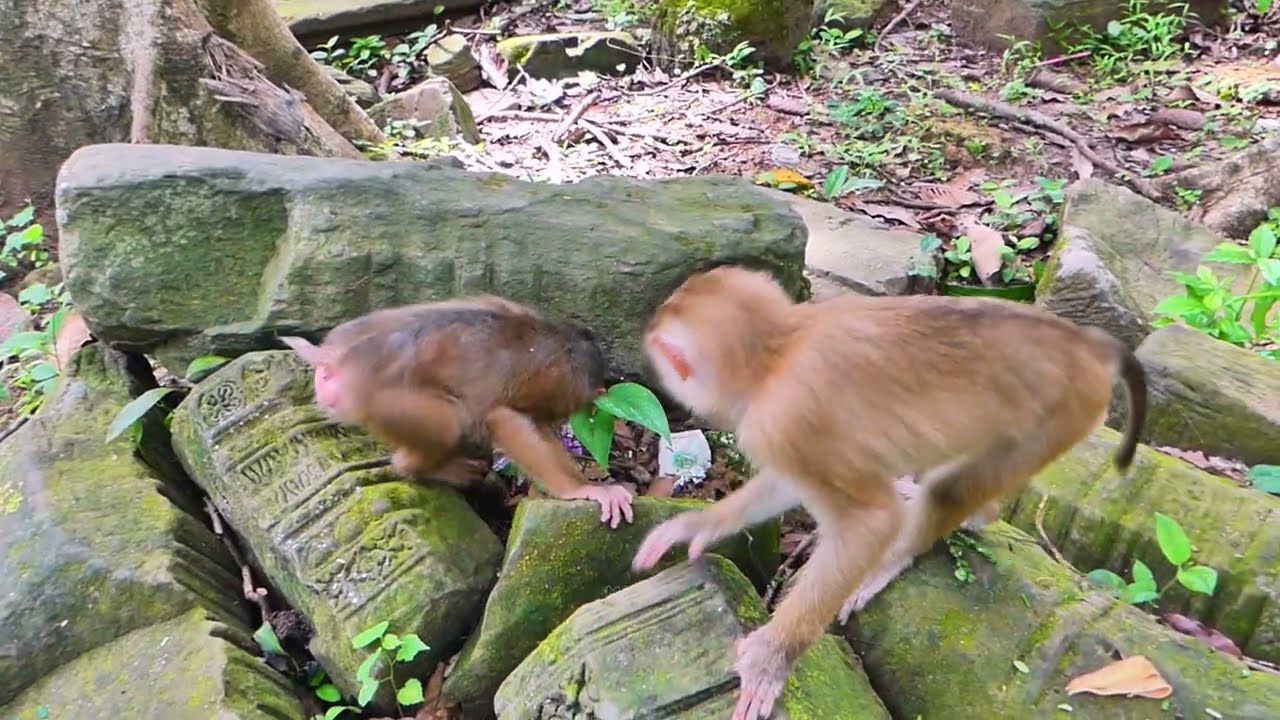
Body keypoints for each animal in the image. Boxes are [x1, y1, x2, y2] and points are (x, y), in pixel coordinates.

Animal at [280, 295, 635, 528]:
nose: (563, 421)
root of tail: (333, 356)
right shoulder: (554, 382)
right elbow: (503, 418)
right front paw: (583, 489)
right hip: (375, 400)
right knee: (451, 422)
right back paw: (422, 467)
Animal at [630, 265, 1146, 720]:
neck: (781, 349)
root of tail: (1083, 343)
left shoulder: (781, 421)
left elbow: (868, 523)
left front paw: (771, 660)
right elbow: (785, 484)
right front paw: (699, 525)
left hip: (1066, 414)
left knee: (949, 489)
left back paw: (891, 557)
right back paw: (971, 509)